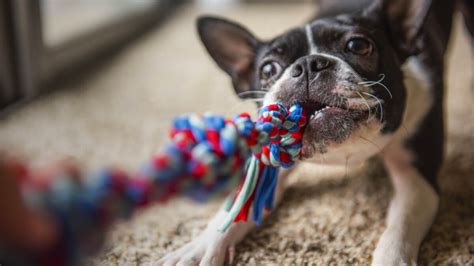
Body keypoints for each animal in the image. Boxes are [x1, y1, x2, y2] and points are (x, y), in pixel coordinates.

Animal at [159, 0, 466, 264]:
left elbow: (399, 227)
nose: (308, 64)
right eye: (268, 69)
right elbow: (238, 204)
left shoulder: (417, 179)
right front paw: (200, 247)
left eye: (358, 45)